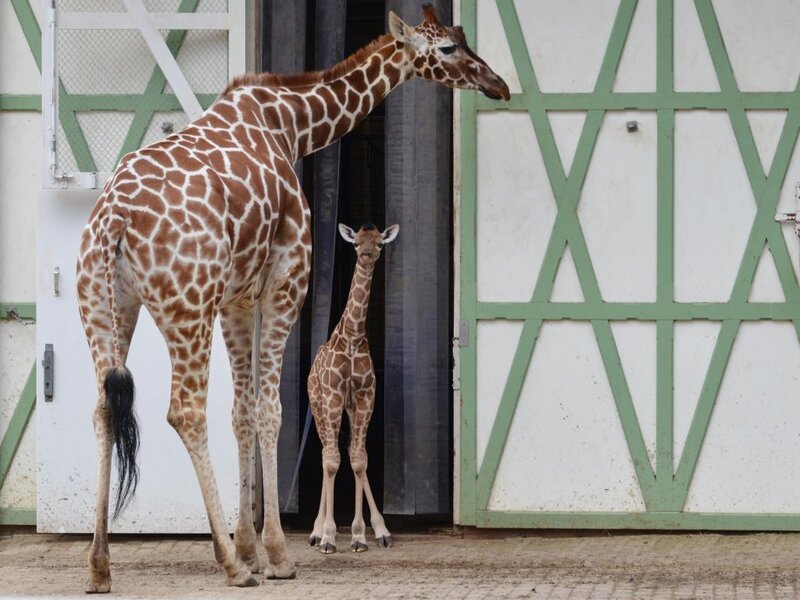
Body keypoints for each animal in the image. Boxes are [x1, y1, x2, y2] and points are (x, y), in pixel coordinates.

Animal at [307, 223, 399, 554]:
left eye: (379, 243)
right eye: (357, 243)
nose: (367, 255)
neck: (352, 336)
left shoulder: (365, 396)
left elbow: (359, 459)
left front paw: (362, 535)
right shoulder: (333, 396)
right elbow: (333, 462)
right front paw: (329, 536)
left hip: (346, 408)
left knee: (347, 451)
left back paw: (380, 529)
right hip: (319, 406)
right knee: (326, 453)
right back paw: (315, 532)